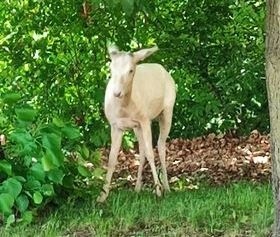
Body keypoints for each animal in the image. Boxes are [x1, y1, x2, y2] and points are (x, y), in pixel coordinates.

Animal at [96, 44, 175, 202]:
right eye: (111, 68)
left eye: (131, 70)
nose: (117, 93)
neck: (125, 109)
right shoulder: (115, 125)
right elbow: (111, 159)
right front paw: (102, 196)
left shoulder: (145, 119)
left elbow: (151, 153)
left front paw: (158, 191)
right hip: (136, 127)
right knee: (142, 150)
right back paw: (137, 188)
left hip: (167, 110)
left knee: (160, 145)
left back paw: (166, 188)